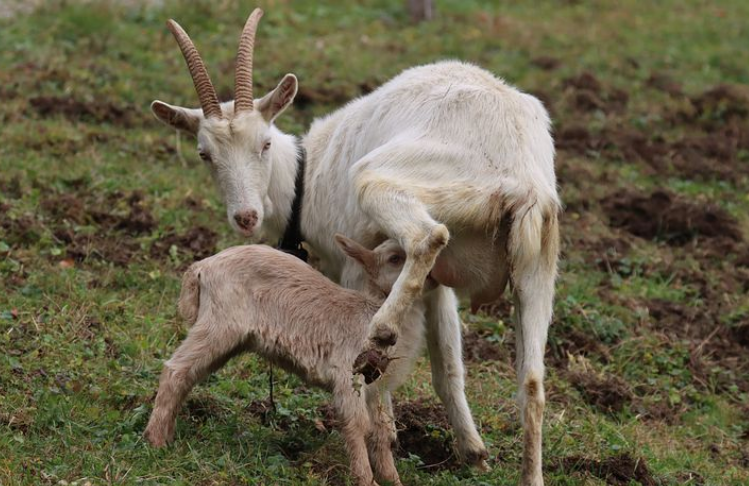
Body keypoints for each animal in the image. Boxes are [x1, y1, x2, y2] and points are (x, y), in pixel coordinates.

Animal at [145, 236, 426, 486]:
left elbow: (384, 432)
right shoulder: (348, 371)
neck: (376, 311)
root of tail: (200, 268)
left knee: (189, 375)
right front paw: (367, 480)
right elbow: (357, 424)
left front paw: (393, 480)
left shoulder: (378, 386)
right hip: (220, 323)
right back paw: (155, 441)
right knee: (175, 371)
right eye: (395, 258)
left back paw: (167, 435)